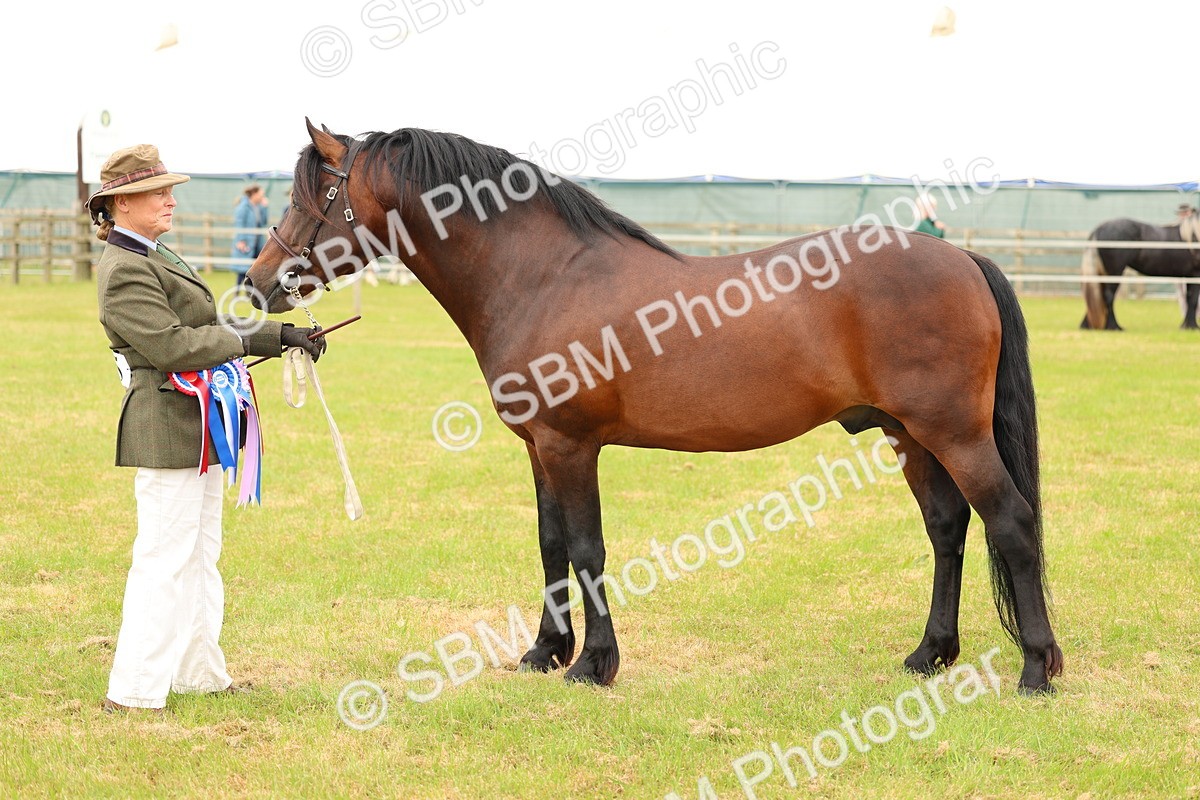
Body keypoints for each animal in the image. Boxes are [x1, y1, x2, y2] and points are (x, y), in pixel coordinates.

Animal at [247, 120, 1064, 694]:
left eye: (311, 197)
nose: (256, 284)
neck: (543, 276)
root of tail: (962, 258)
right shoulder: (541, 448)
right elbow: (549, 545)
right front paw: (545, 652)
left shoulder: (571, 445)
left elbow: (586, 548)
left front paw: (593, 665)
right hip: (909, 435)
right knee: (948, 527)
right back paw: (930, 654)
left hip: (954, 433)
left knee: (1011, 522)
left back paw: (1036, 670)